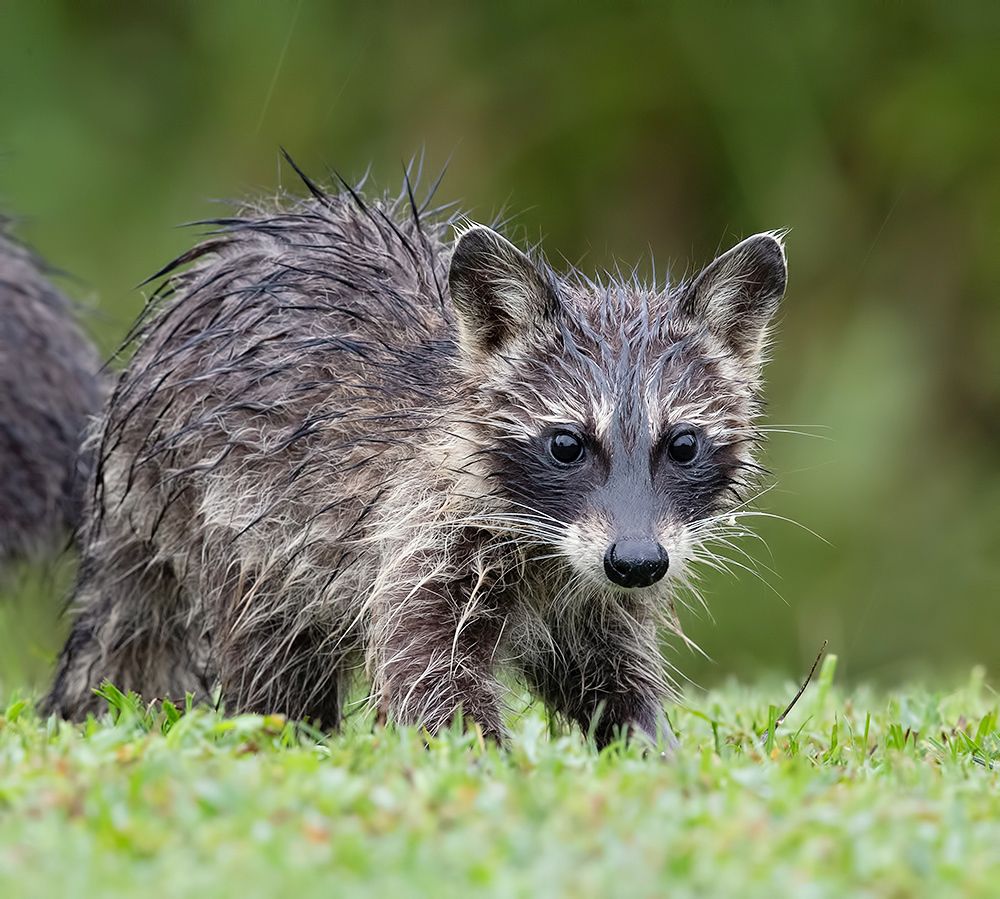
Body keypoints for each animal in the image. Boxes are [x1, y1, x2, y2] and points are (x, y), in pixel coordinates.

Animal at [45, 165, 786, 748]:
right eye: (567, 444)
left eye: (682, 444)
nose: (636, 562)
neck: (549, 545)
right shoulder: (423, 528)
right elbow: (430, 673)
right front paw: (488, 767)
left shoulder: (599, 583)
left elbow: (607, 672)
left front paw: (651, 748)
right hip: (224, 512)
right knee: (269, 650)